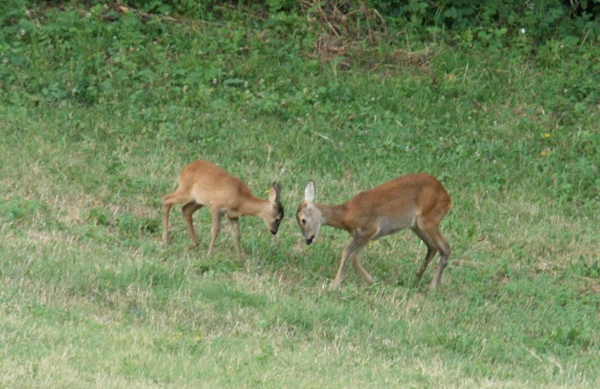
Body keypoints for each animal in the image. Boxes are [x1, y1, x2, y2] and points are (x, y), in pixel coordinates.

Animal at [296, 173, 450, 288]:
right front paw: (371, 281)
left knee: (445, 248)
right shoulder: (365, 235)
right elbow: (354, 255)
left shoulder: (370, 228)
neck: (346, 215)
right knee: (432, 247)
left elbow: (347, 252)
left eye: (303, 220)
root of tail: (447, 198)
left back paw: (432, 287)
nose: (308, 240)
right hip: (416, 225)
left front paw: (335, 284)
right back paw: (416, 277)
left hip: (428, 219)